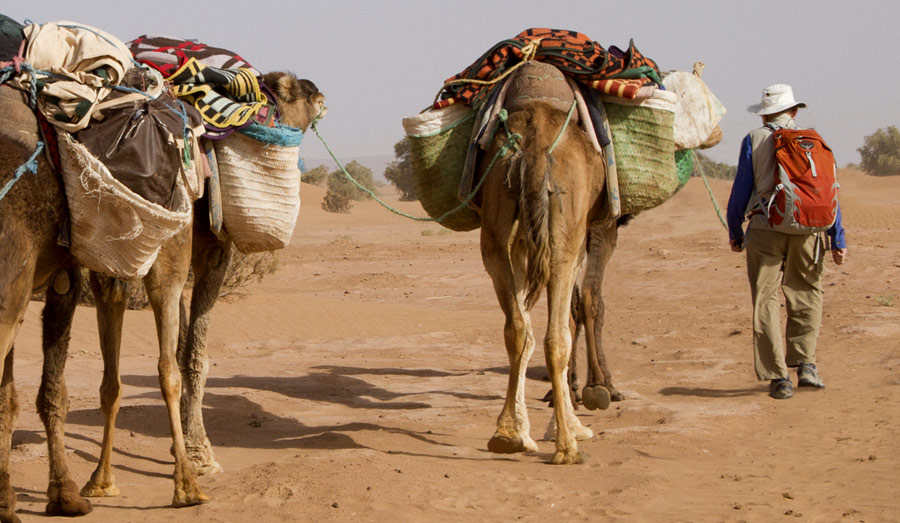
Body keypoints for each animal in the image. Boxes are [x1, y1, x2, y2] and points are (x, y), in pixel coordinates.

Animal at [0, 71, 324, 520]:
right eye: (292, 89)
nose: (319, 94)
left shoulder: (106, 271)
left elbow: (121, 375)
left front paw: (103, 479)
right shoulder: (200, 255)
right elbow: (185, 360)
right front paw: (194, 465)